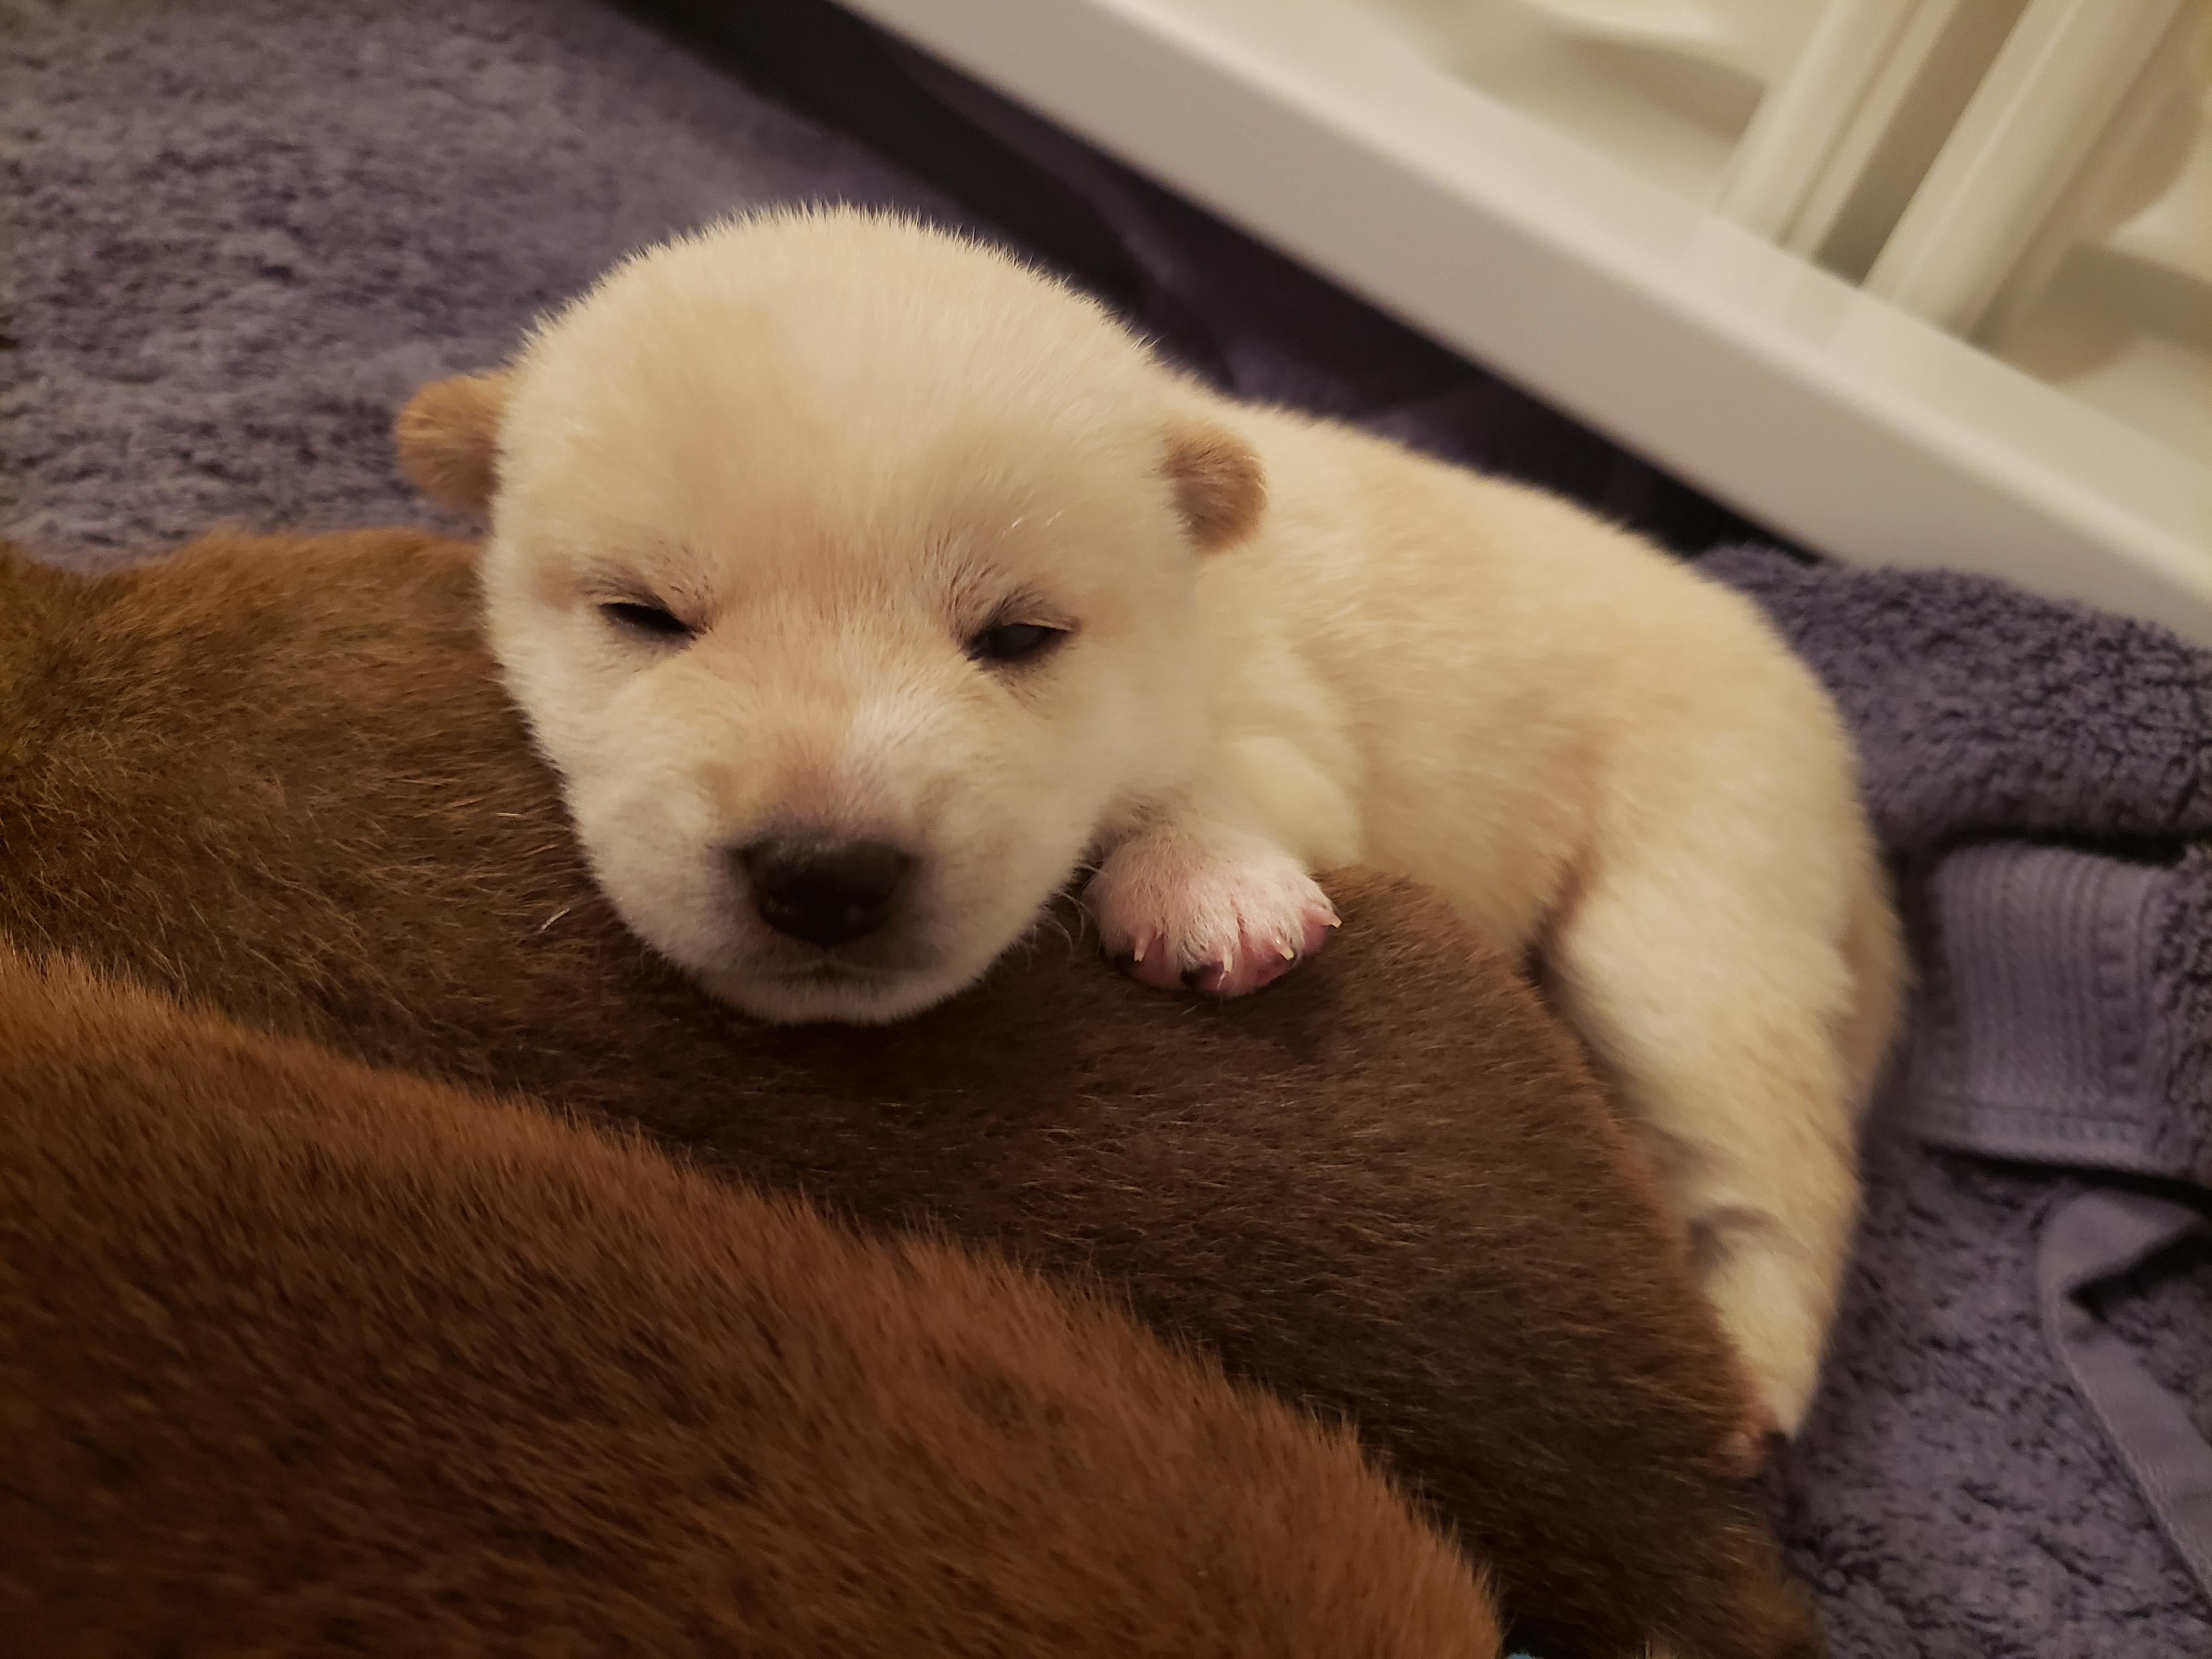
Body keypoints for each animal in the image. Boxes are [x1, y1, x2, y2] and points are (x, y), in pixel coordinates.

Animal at [396, 208, 1903, 1441]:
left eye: (1019, 635)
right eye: (644, 614)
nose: (826, 874)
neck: (1196, 604)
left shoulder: (1279, 717)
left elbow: (1223, 781)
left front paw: (1206, 889)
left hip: (1697, 889)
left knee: (1783, 1165)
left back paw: (1750, 1370)